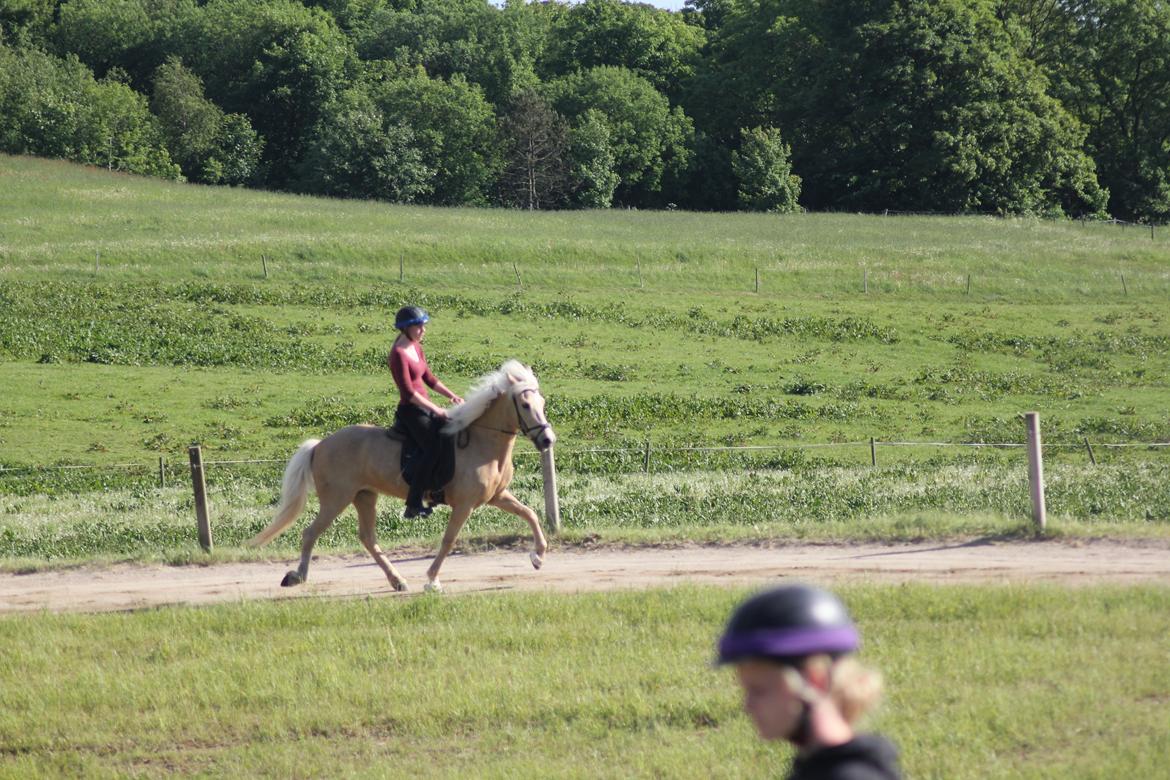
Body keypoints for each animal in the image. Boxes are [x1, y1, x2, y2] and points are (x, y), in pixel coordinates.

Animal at [251, 360, 552, 591]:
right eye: (525, 405)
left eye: (542, 401)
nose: (548, 440)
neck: (483, 442)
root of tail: (320, 445)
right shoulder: (464, 505)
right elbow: (448, 540)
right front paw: (432, 580)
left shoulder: (497, 496)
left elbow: (530, 514)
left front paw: (537, 556)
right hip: (336, 499)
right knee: (310, 532)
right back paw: (297, 576)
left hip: (364, 496)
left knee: (368, 539)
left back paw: (397, 581)